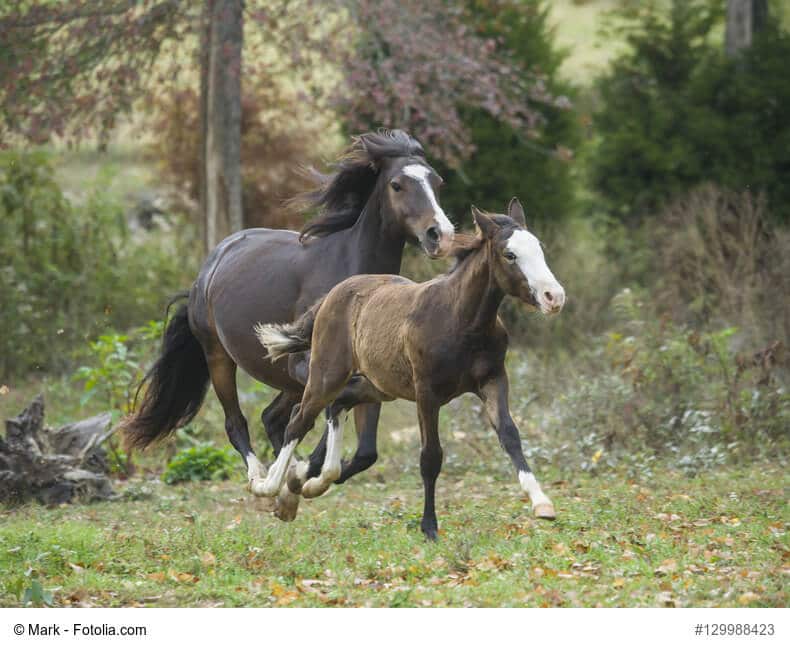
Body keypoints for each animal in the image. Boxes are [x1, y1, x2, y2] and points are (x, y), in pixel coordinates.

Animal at [122, 130, 455, 520]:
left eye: (437, 182)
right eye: (397, 185)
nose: (440, 234)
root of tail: (210, 266)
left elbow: (363, 450)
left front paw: (300, 480)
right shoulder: (313, 367)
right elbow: (326, 415)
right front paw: (295, 477)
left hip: (284, 377)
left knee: (272, 417)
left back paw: (284, 490)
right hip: (220, 357)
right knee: (238, 423)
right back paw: (262, 482)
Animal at [255, 199, 565, 539]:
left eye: (539, 249)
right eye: (510, 255)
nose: (554, 297)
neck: (461, 321)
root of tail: (332, 295)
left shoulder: (493, 379)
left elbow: (510, 434)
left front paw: (542, 503)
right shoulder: (426, 392)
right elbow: (431, 456)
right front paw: (429, 526)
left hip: (376, 386)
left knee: (337, 407)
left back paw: (307, 483)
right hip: (327, 374)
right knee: (299, 419)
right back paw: (269, 486)